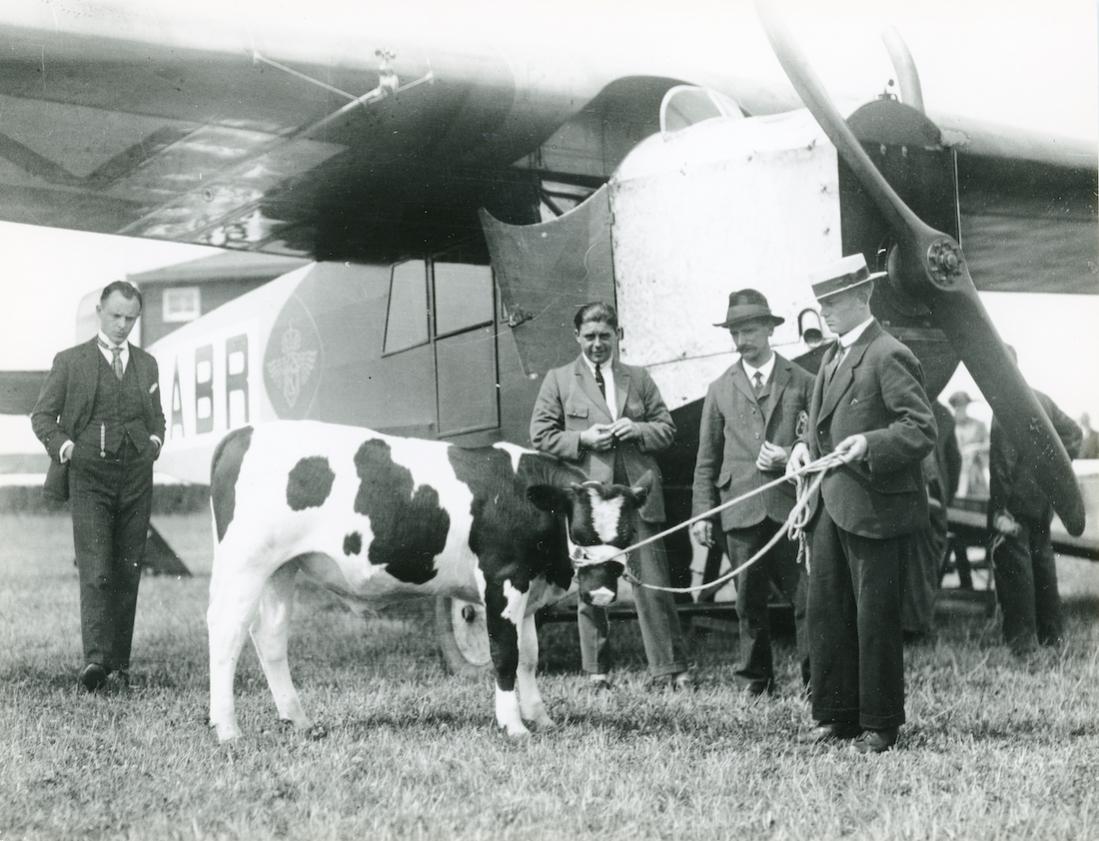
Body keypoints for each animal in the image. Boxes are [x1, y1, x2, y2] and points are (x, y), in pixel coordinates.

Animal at [206, 422, 650, 738]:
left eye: (628, 533)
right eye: (581, 530)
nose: (603, 593)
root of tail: (243, 432)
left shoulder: (529, 589)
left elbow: (529, 657)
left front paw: (541, 718)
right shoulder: (501, 580)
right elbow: (505, 654)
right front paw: (513, 725)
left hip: (282, 568)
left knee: (269, 637)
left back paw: (297, 719)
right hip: (245, 564)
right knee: (227, 634)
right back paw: (227, 728)